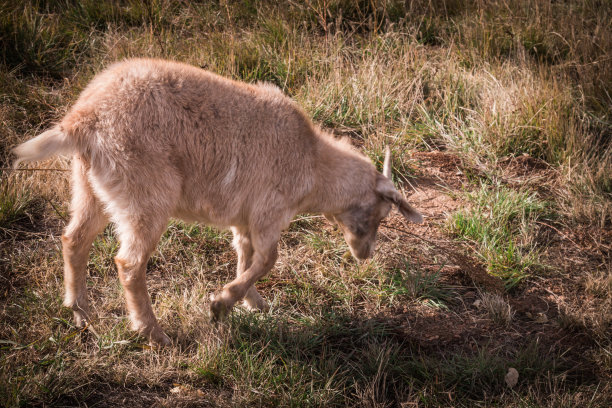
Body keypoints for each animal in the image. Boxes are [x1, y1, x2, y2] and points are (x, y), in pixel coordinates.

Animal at [11, 59, 420, 346]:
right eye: (381, 212)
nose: (365, 254)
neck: (313, 163)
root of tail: (83, 119)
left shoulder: (245, 217)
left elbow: (246, 255)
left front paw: (254, 303)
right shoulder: (269, 211)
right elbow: (268, 259)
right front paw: (222, 303)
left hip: (90, 186)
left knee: (74, 240)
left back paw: (81, 313)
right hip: (144, 191)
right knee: (129, 263)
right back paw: (153, 333)